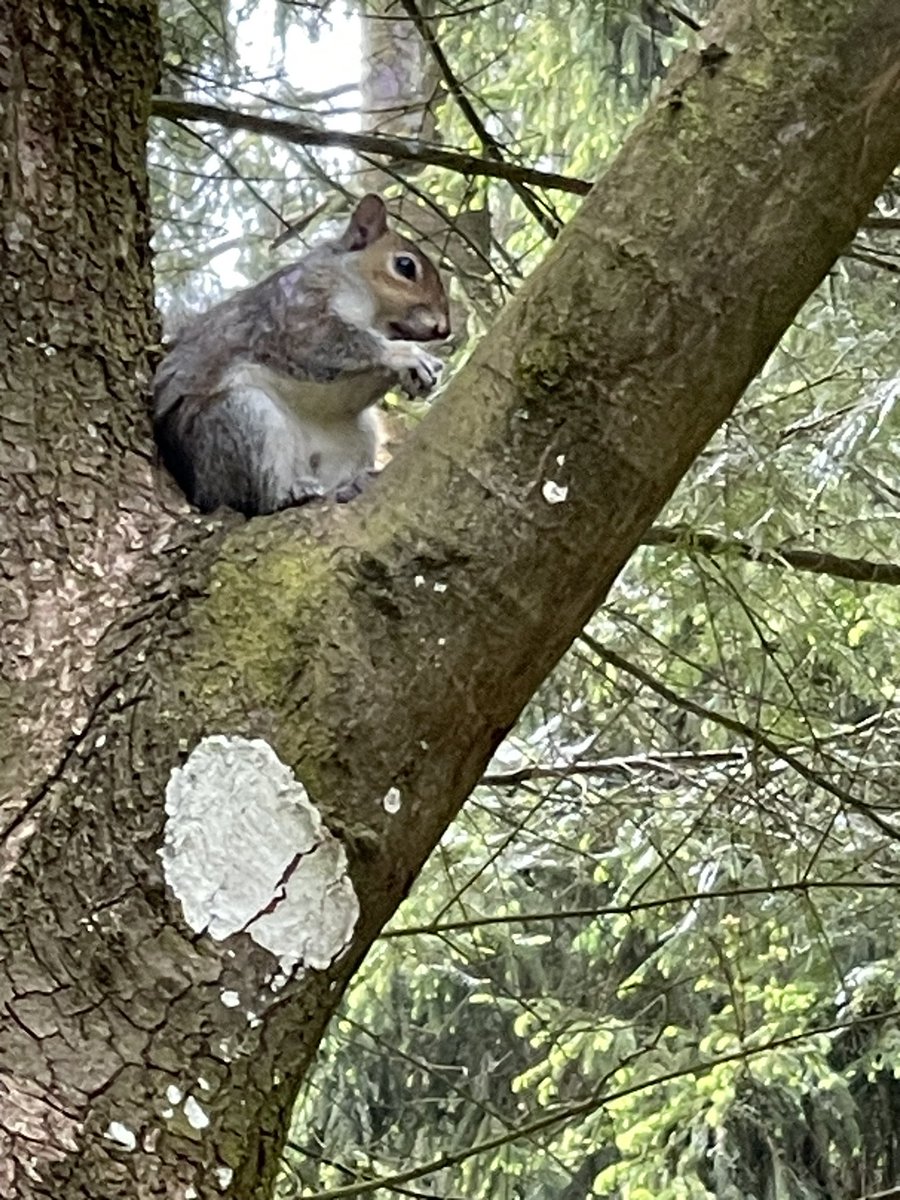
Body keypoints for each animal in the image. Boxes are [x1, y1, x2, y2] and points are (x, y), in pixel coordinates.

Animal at [154, 195, 453, 516]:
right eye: (405, 266)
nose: (444, 328)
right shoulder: (292, 314)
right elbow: (321, 345)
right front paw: (406, 355)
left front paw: (420, 378)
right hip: (241, 419)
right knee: (258, 500)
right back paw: (290, 493)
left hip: (357, 438)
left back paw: (351, 485)